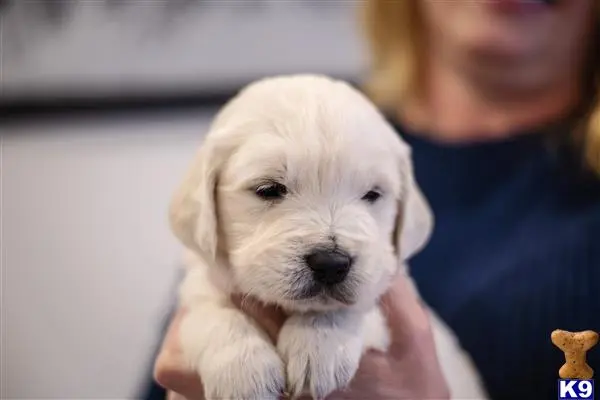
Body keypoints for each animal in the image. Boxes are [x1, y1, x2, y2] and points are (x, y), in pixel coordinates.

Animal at [170, 73, 488, 398]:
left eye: (372, 194)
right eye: (268, 189)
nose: (331, 264)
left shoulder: (384, 284)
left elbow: (351, 305)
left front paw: (318, 343)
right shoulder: (203, 280)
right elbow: (212, 309)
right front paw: (244, 372)